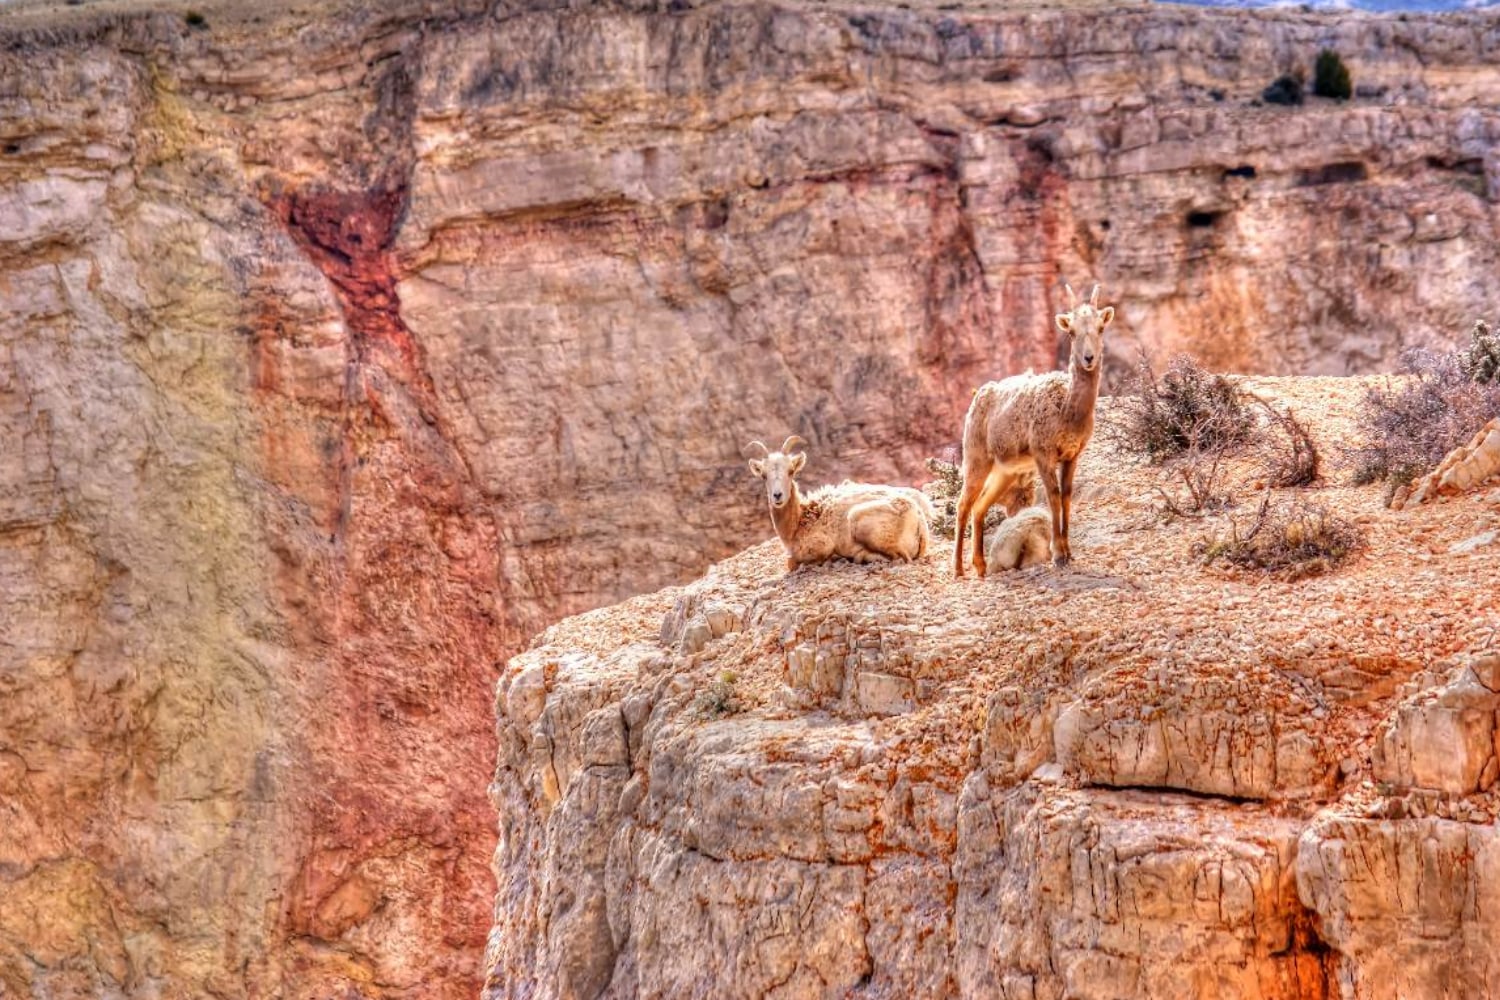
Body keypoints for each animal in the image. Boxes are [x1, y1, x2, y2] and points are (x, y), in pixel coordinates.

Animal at [744, 434, 930, 569]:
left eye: (791, 471)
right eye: (763, 475)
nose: (777, 496)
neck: (798, 522)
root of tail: (919, 522)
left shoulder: (819, 547)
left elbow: (793, 562)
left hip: (859, 520)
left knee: (899, 557)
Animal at [954, 281, 1110, 578]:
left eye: (1100, 328)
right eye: (1071, 331)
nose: (1088, 358)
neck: (1067, 410)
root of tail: (978, 397)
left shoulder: (1072, 455)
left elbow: (1067, 496)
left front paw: (1069, 553)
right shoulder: (1042, 453)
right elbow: (1053, 496)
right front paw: (1058, 555)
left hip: (1004, 471)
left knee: (980, 506)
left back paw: (980, 567)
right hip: (976, 459)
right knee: (963, 504)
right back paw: (958, 570)